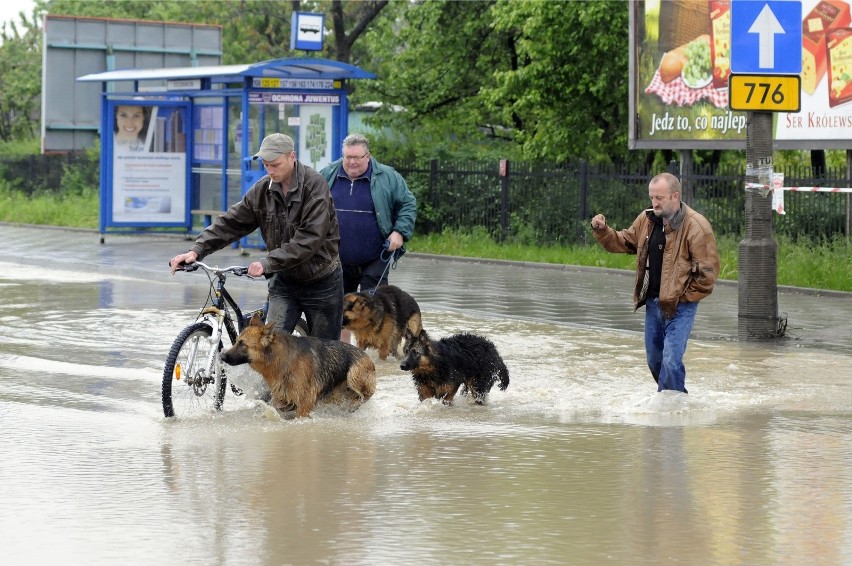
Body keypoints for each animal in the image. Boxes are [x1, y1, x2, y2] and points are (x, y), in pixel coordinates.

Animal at [223, 318, 376, 420]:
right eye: (236, 341)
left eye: (243, 344)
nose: (221, 355)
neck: (281, 359)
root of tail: (367, 356)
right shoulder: (282, 397)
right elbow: (278, 406)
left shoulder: (305, 404)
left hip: (354, 375)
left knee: (365, 394)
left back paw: (356, 403)